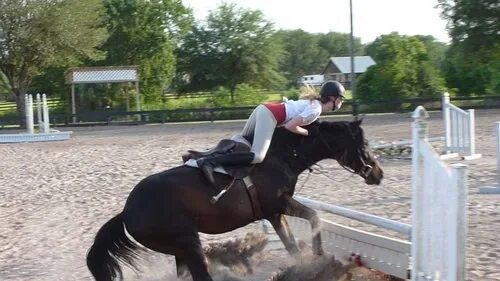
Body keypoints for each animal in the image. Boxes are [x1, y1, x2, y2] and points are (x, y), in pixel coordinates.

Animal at [86, 118, 382, 280]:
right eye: (363, 145)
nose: (377, 174)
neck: (283, 155)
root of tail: (126, 211)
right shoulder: (279, 204)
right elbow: (314, 217)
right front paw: (319, 258)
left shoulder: (274, 213)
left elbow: (292, 245)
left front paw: (309, 265)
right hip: (188, 243)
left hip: (180, 249)